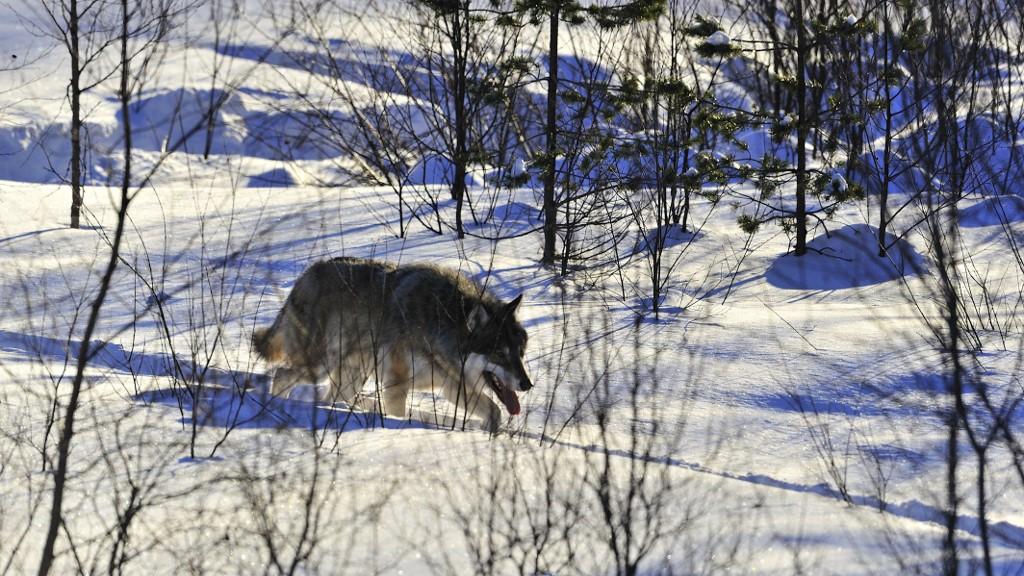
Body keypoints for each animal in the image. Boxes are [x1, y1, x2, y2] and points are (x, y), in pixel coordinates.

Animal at [251, 258, 532, 428]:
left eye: (519, 353)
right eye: (499, 353)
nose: (527, 385)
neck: (440, 324)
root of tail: (307, 274)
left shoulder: (451, 386)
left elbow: (495, 412)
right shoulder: (396, 385)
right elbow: (397, 415)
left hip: (352, 375)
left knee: (331, 396)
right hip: (319, 366)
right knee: (281, 375)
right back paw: (278, 408)